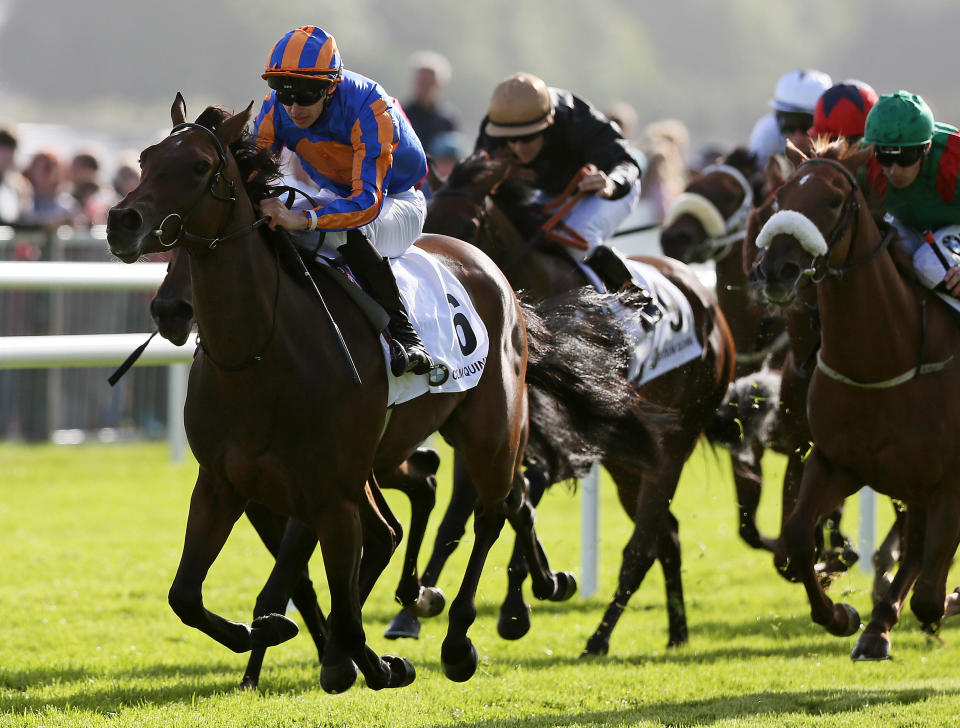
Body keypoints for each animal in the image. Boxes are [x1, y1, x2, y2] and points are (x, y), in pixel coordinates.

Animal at [107, 95, 660, 688]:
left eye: (198, 167)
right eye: (145, 158)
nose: (122, 221)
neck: (259, 353)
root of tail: (493, 271)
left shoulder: (329, 490)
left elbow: (339, 602)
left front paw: (366, 660)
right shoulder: (223, 483)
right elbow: (188, 596)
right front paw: (274, 636)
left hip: (491, 429)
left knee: (489, 510)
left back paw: (461, 638)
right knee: (455, 507)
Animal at [388, 152, 736, 656]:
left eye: (472, 221)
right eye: (429, 212)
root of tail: (709, 304)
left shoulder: (553, 440)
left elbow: (519, 497)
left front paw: (519, 605)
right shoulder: (487, 430)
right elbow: (458, 517)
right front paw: (412, 611)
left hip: (671, 444)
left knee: (642, 544)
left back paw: (599, 637)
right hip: (625, 460)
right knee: (665, 534)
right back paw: (677, 631)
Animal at [752, 139, 960, 664]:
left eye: (832, 200)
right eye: (780, 195)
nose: (777, 270)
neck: (884, 359)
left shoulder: (951, 480)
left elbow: (931, 597)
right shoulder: (836, 462)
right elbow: (798, 539)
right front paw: (843, 616)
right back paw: (877, 627)